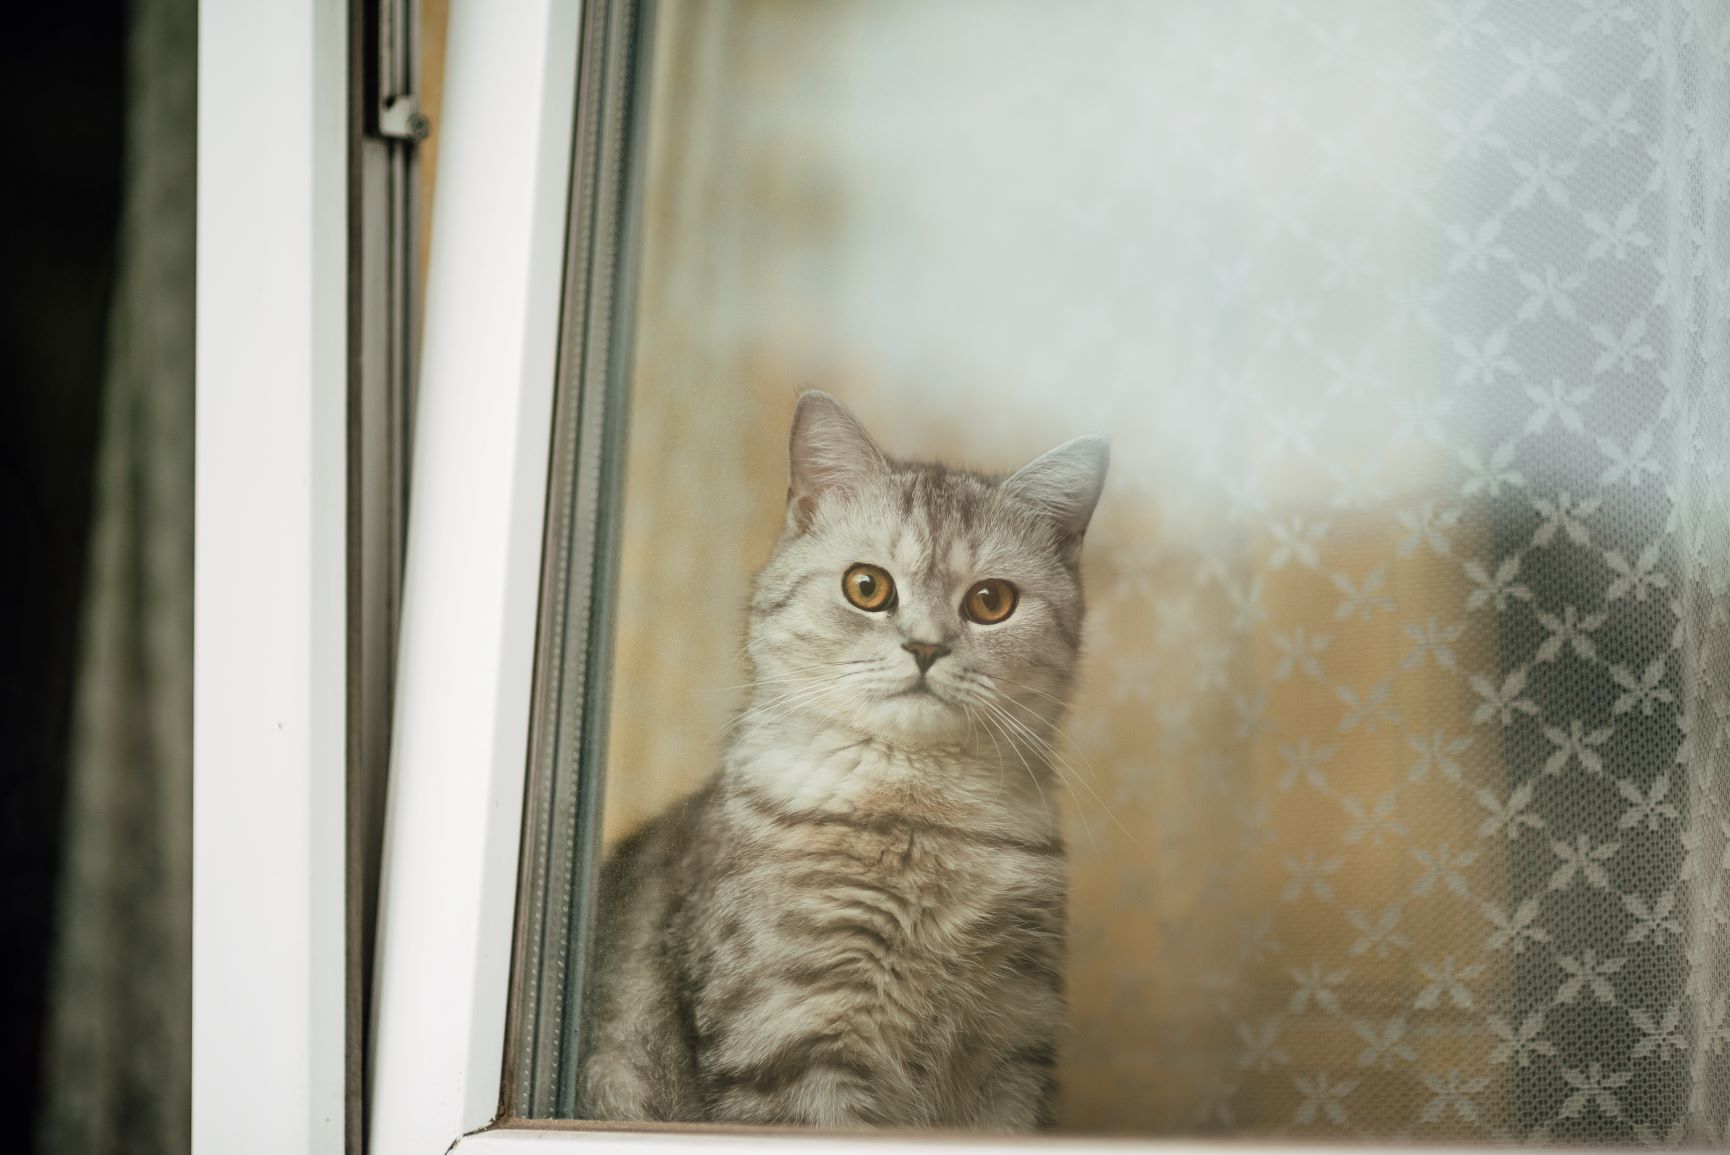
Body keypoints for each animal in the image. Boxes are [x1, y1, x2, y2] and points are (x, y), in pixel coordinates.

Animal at [581, 392, 1107, 1134]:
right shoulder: (790, 1040)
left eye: (991, 602)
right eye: (867, 586)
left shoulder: (1014, 1046)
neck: (922, 818)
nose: (926, 646)